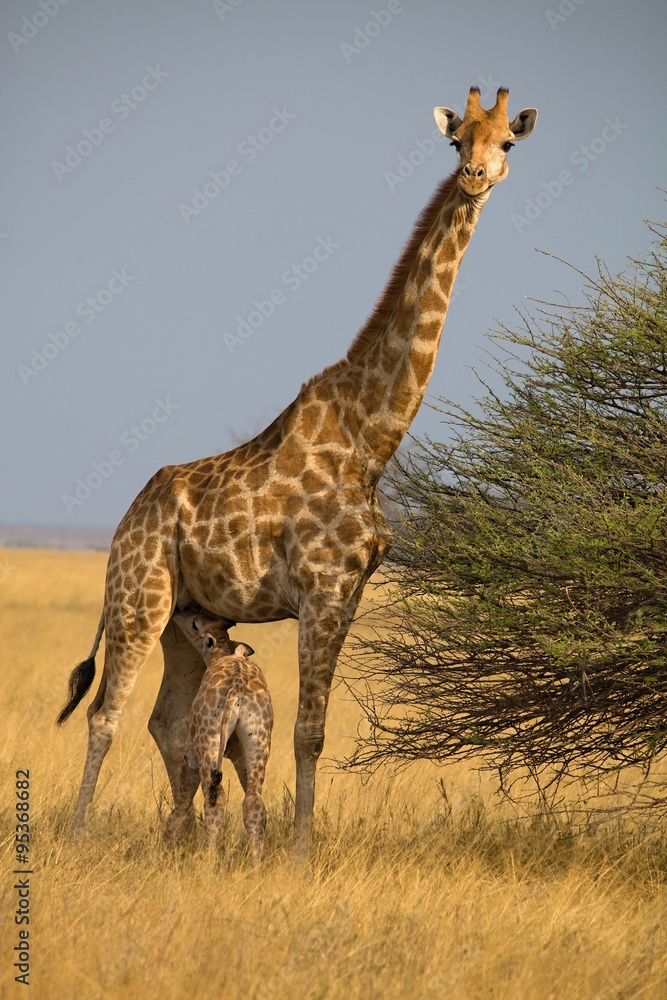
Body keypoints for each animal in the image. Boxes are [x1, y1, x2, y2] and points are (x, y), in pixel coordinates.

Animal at [165, 612, 273, 864]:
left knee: (216, 797)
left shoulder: (192, 752)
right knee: (253, 801)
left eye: (195, 624)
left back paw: (207, 860)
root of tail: (237, 691)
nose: (178, 615)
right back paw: (256, 865)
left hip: (209, 740)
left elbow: (182, 801)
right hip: (258, 740)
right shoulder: (241, 755)